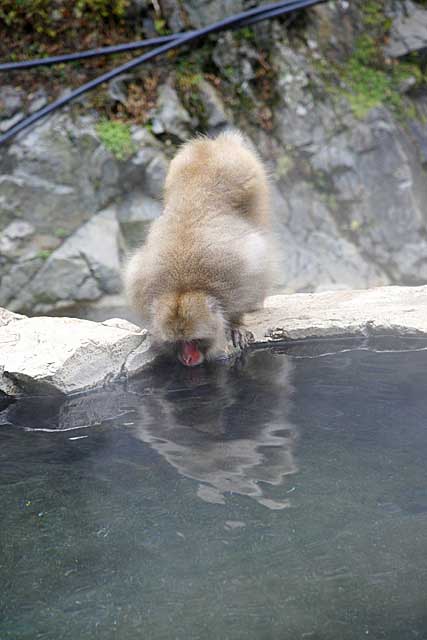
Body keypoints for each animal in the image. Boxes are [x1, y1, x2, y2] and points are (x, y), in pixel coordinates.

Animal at [125, 129, 276, 368]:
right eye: (178, 342)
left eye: (195, 340)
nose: (187, 359)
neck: (184, 287)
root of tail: (212, 145)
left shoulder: (238, 277)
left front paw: (235, 325)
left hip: (252, 179)